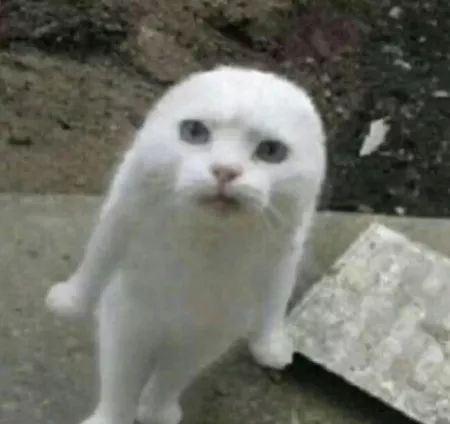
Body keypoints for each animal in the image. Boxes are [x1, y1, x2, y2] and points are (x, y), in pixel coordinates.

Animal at [45, 65, 326, 424]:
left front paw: (156, 410)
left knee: (274, 303)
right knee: (96, 263)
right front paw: (115, 416)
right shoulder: (129, 318)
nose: (225, 171)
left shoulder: (208, 334)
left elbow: (173, 376)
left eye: (271, 151)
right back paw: (71, 300)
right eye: (195, 132)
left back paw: (270, 346)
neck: (204, 247)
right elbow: (121, 383)